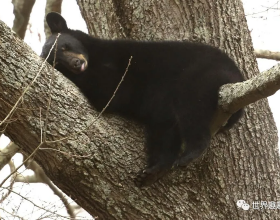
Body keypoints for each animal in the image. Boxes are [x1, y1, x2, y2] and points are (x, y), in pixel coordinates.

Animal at [40, 12, 244, 187]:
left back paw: (190, 153)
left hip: (201, 76)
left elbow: (111, 92)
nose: (76, 64)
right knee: (164, 131)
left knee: (190, 110)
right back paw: (153, 171)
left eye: (66, 46)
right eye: (57, 61)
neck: (96, 56)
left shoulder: (122, 64)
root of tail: (237, 74)